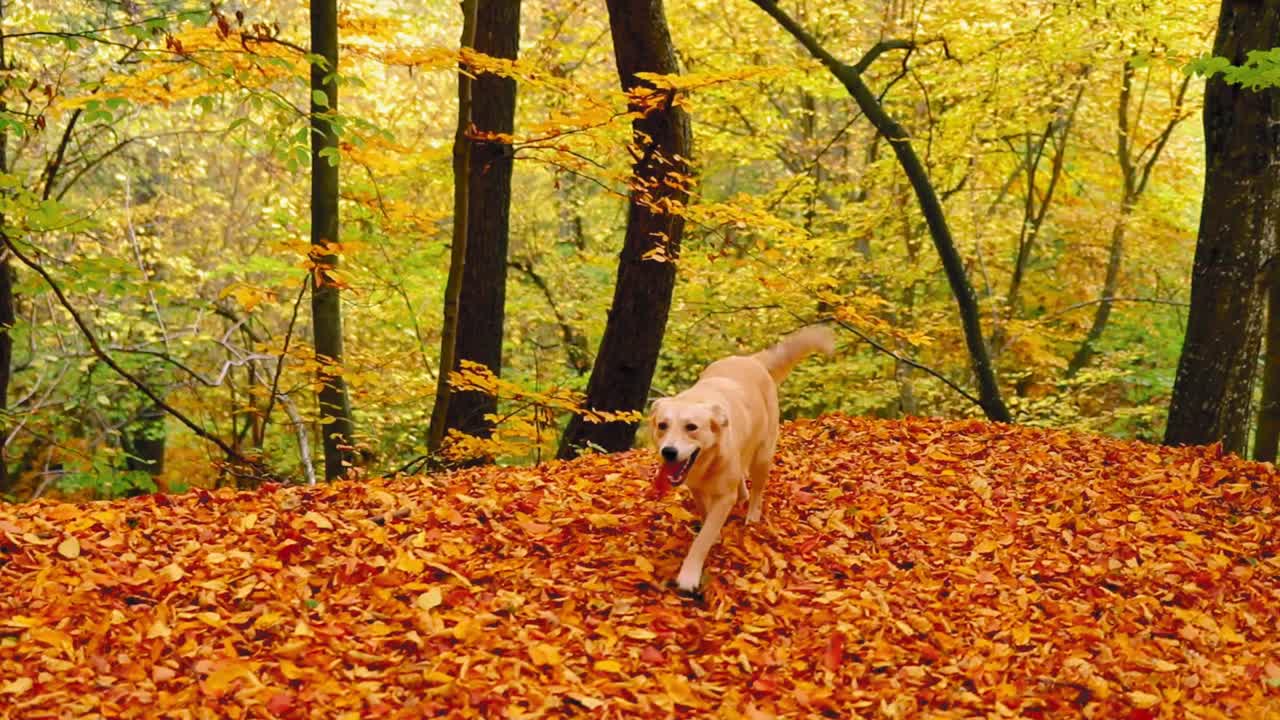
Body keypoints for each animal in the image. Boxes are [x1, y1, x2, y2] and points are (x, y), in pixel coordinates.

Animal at [650, 324, 839, 589]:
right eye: (662, 425)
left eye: (691, 427)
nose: (668, 451)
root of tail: (751, 360)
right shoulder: (697, 488)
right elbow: (706, 515)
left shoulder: (723, 497)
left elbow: (703, 538)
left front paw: (689, 575)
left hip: (762, 456)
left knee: (757, 490)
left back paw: (752, 516)